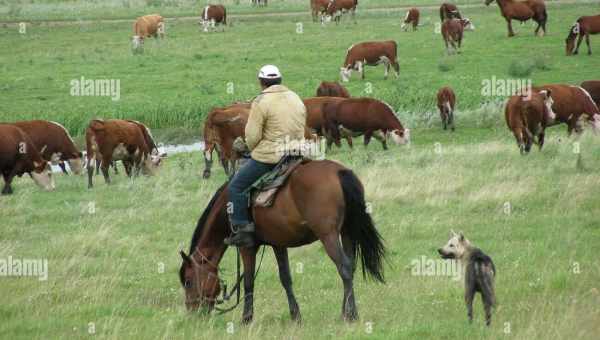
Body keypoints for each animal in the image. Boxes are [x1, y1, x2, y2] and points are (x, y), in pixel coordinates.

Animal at [178, 161, 384, 322]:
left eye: (188, 281)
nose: (193, 313)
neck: (228, 207)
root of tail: (339, 172)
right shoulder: (278, 243)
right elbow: (285, 278)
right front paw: (295, 316)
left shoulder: (247, 247)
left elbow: (248, 282)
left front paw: (246, 319)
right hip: (346, 231)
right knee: (351, 266)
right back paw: (345, 312)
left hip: (329, 236)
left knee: (344, 268)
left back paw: (351, 315)